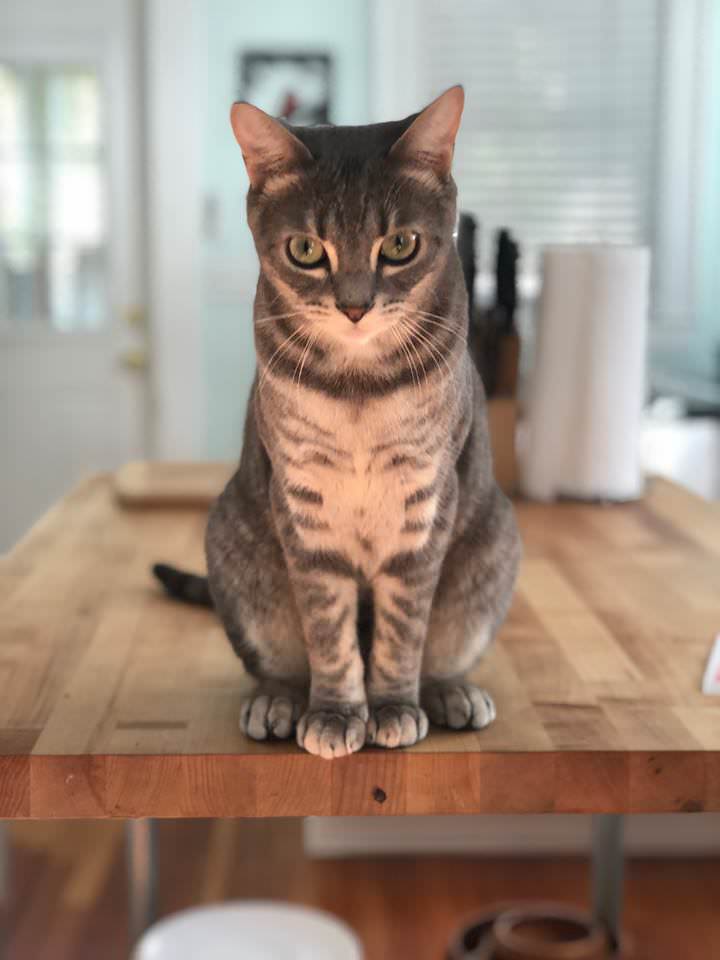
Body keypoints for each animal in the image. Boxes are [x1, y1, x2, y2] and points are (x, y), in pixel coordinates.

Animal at [154, 85, 521, 759]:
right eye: (305, 251)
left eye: (400, 245)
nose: (354, 306)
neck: (359, 391)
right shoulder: (304, 504)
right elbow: (328, 632)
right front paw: (336, 712)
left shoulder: (426, 502)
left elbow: (404, 631)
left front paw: (393, 706)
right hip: (239, 554)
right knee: (278, 662)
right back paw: (277, 700)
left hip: (491, 550)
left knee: (441, 649)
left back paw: (450, 692)